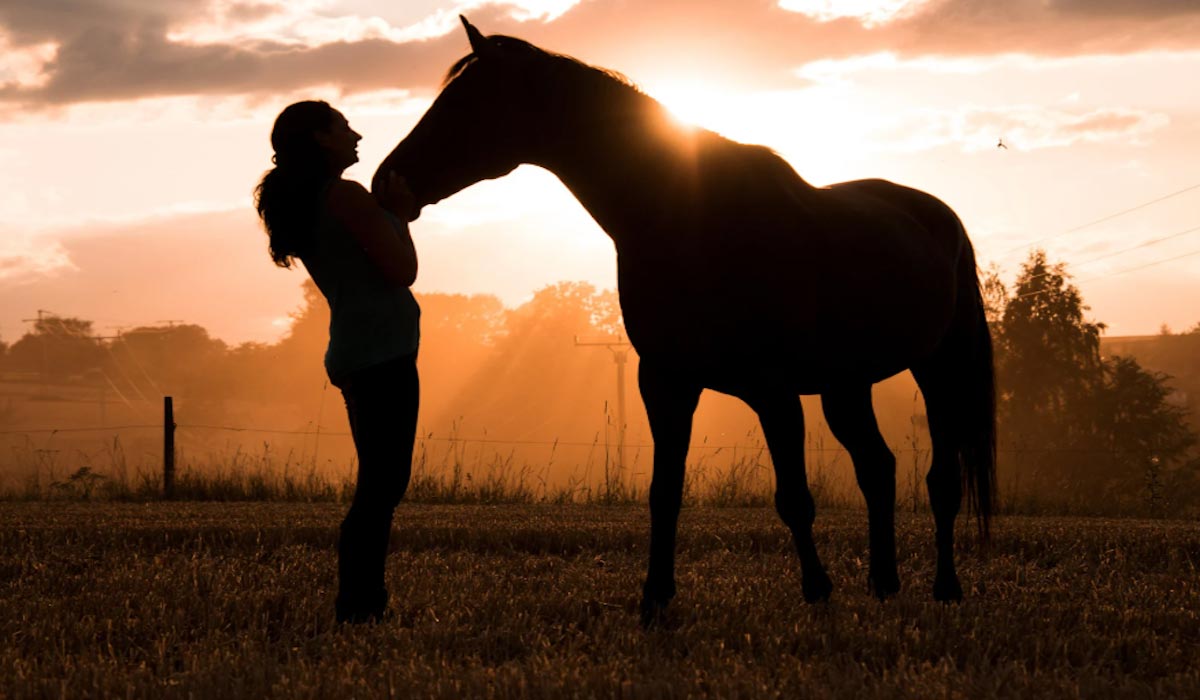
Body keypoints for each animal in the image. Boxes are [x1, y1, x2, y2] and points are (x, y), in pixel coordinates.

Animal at [379, 16, 998, 619]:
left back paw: (945, 587)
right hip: (846, 386)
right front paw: (655, 596)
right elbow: (664, 492)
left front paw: (817, 589)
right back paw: (884, 582)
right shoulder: (665, 382)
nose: (387, 180)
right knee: (878, 468)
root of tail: (940, 217)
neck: (692, 219)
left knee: (941, 480)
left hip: (939, 371)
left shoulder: (774, 392)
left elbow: (794, 497)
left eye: (466, 103)